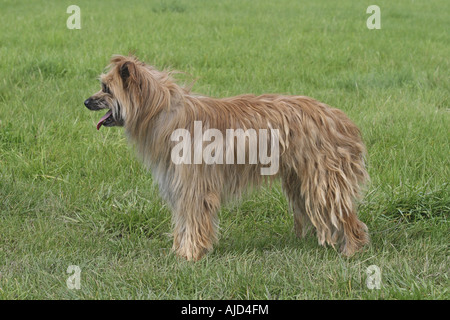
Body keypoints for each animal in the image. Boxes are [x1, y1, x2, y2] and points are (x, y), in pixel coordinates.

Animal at [83, 55, 370, 260]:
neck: (161, 110)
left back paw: (352, 249)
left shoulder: (194, 186)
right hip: (301, 179)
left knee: (345, 214)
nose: (86, 101)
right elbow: (183, 220)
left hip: (323, 180)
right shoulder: (180, 185)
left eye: (106, 88)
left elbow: (193, 219)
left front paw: (189, 255)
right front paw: (181, 250)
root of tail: (339, 118)